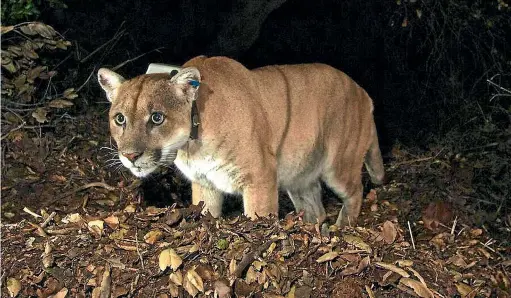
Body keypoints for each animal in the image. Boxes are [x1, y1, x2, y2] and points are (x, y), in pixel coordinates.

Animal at [98, 55, 384, 226]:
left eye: (157, 118)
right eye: (120, 119)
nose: (130, 156)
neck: (192, 144)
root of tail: (364, 92)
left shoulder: (259, 177)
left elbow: (259, 215)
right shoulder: (205, 183)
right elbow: (206, 212)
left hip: (338, 165)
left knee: (356, 190)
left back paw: (342, 226)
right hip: (299, 174)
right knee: (316, 208)